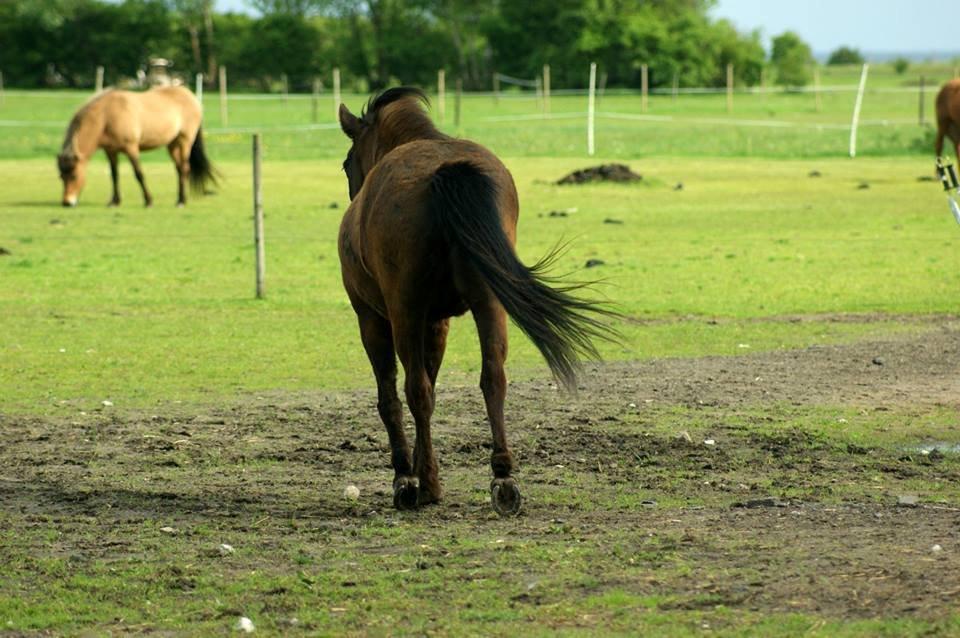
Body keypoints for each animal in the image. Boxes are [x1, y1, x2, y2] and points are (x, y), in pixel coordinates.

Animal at [58, 85, 219, 208]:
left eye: (73, 175)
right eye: (61, 176)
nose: (67, 202)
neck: (106, 116)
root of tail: (191, 96)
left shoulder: (131, 149)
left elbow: (139, 174)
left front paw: (148, 201)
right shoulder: (111, 151)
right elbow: (114, 175)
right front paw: (114, 202)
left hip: (184, 141)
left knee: (184, 168)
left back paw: (181, 201)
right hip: (172, 145)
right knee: (179, 169)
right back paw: (179, 199)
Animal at [338, 87, 624, 516]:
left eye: (345, 164)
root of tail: (447, 172)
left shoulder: (374, 319)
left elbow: (391, 397)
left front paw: (408, 476)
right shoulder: (437, 322)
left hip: (405, 312)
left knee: (415, 390)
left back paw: (421, 485)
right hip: (489, 305)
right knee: (493, 379)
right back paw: (502, 477)